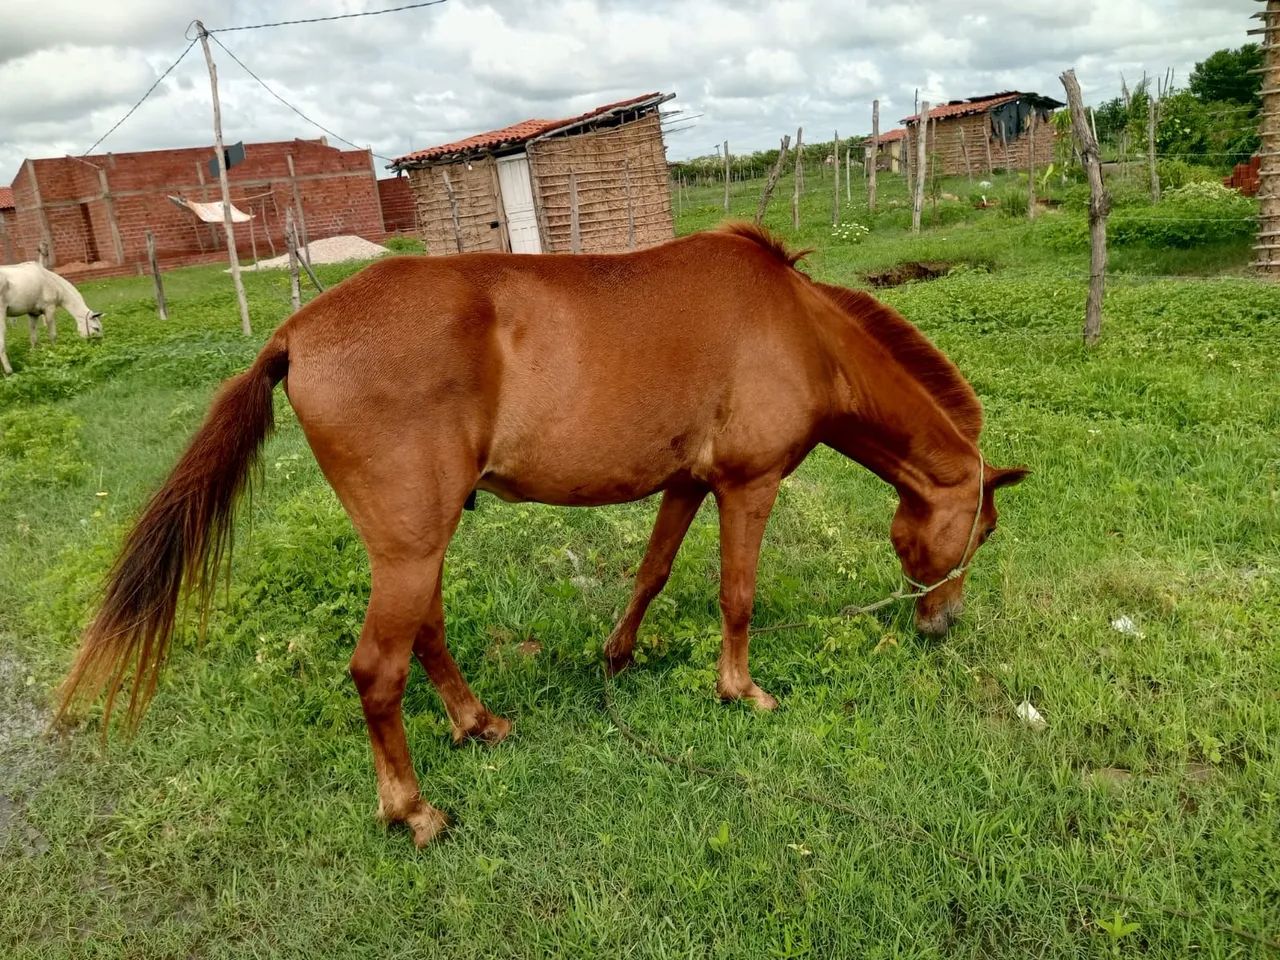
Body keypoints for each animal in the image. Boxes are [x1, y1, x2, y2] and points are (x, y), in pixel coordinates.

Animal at [57, 223, 1027, 847]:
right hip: (410, 548)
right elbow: (737, 596)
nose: (941, 625)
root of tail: (297, 331)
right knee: (377, 669)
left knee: (427, 634)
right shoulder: (747, 488)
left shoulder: (686, 483)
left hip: (420, 542)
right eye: (978, 536)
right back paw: (413, 812)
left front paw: (618, 656)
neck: (798, 329)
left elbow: (652, 572)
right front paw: (741, 691)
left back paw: (477, 722)